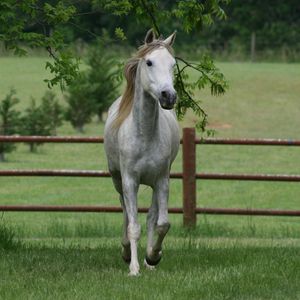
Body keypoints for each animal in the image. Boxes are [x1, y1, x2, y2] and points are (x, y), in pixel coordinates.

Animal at [104, 29, 179, 276]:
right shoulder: (130, 181)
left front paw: (153, 257)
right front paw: (134, 268)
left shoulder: (162, 180)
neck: (144, 134)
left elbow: (161, 223)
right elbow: (133, 226)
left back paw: (148, 261)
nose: (168, 96)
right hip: (118, 181)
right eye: (149, 62)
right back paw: (127, 252)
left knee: (151, 217)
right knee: (126, 213)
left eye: (173, 64)